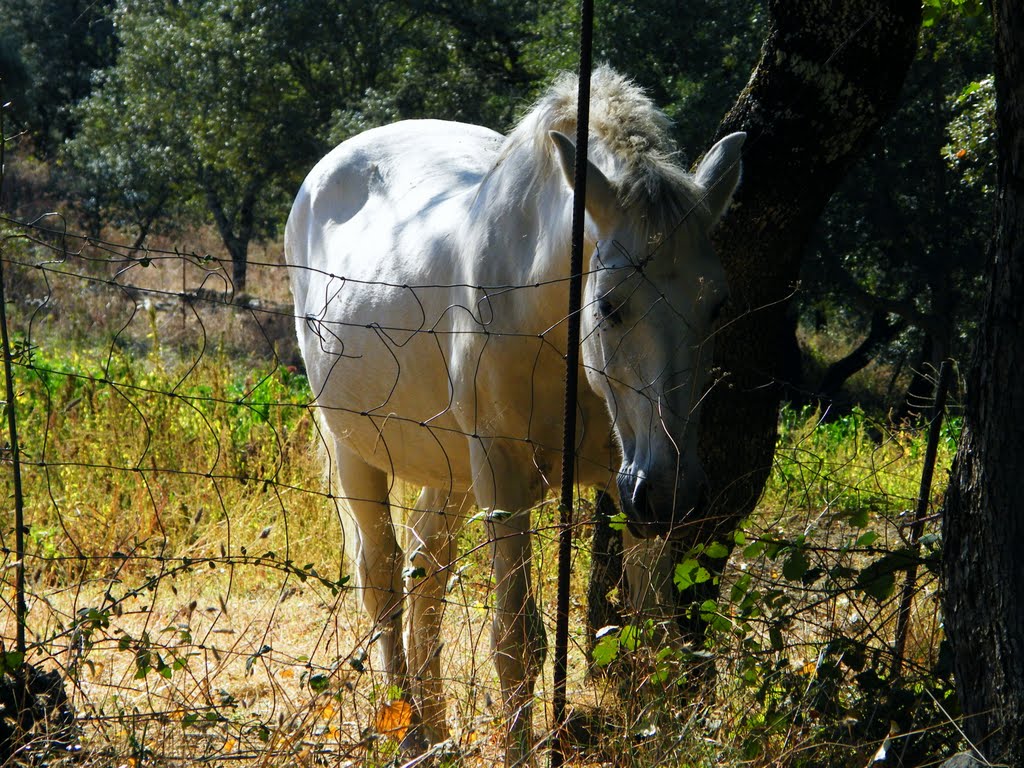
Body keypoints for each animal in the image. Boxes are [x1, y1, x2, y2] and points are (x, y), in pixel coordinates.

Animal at [288, 69, 745, 765]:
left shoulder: (626, 491)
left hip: (450, 470)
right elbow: (516, 642)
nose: (667, 492)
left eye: (716, 306)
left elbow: (653, 630)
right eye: (610, 305)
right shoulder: (504, 478)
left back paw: (436, 734)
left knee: (425, 572)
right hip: (355, 450)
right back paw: (407, 732)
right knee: (384, 579)